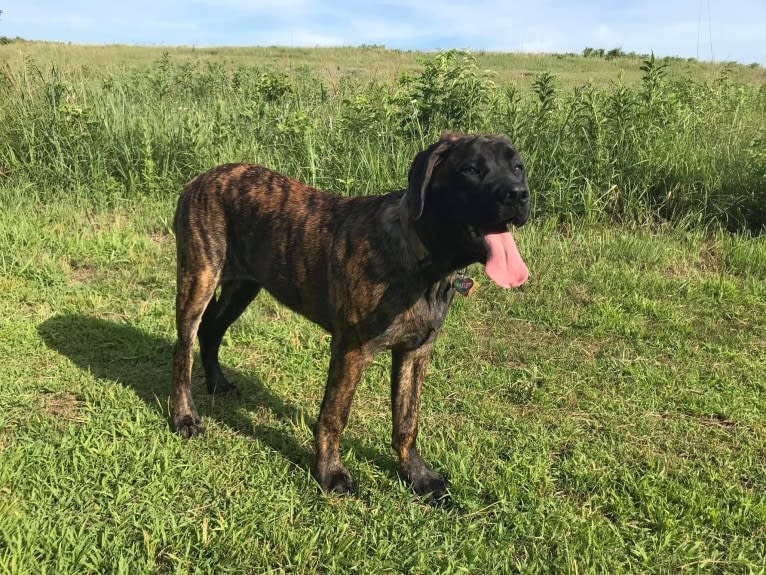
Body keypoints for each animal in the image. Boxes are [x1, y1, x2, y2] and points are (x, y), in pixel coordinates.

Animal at [172, 133, 536, 498]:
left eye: (518, 167)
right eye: (471, 169)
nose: (518, 194)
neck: (421, 261)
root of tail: (200, 178)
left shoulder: (415, 351)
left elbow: (407, 420)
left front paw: (417, 476)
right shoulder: (351, 350)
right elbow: (335, 416)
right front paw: (330, 473)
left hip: (242, 288)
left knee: (211, 331)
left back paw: (217, 383)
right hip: (199, 278)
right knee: (183, 350)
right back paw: (184, 417)